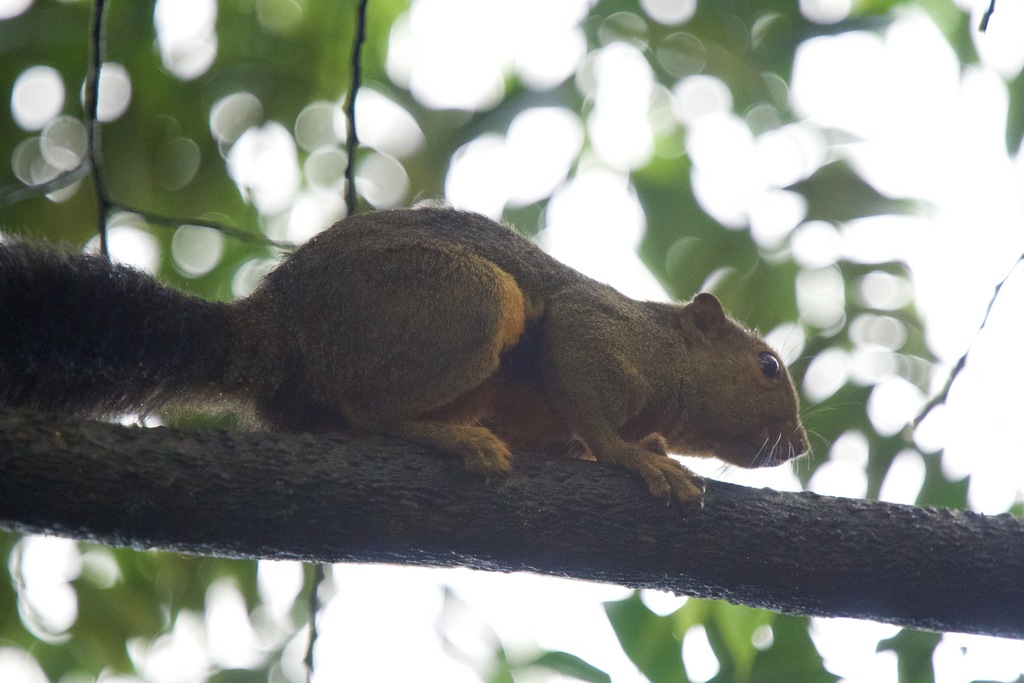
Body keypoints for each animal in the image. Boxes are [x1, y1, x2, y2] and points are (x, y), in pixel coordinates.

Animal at [0, 207, 807, 503]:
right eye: (767, 366)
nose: (799, 443)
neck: (671, 354)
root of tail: (273, 329)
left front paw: (649, 445)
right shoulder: (601, 331)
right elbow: (586, 391)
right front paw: (638, 457)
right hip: (466, 302)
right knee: (370, 410)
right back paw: (449, 435)